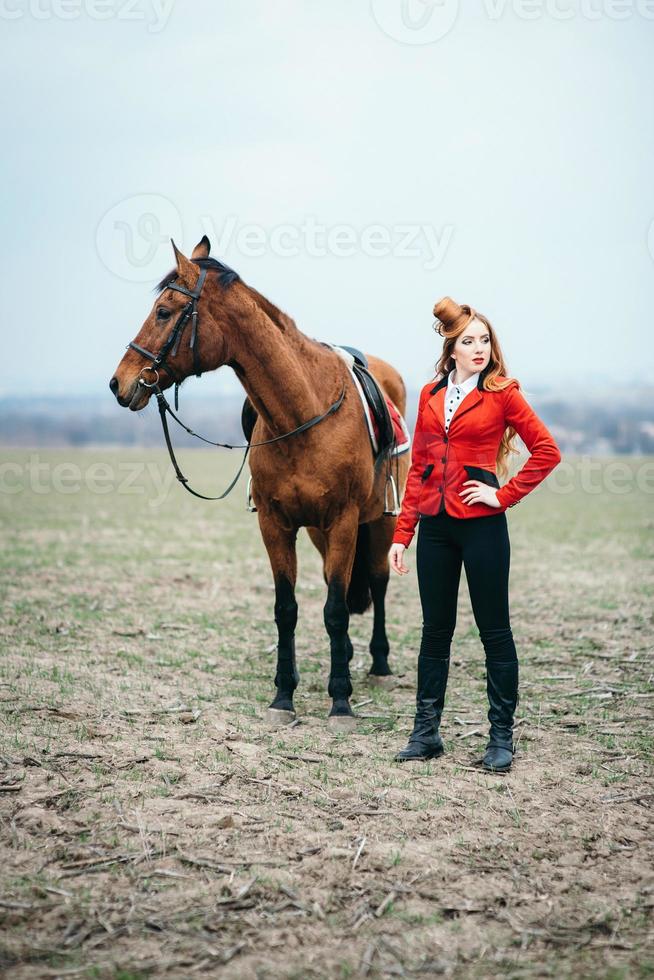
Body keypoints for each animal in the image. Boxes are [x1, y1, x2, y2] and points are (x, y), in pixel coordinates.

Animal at [113, 235, 410, 728]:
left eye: (165, 311)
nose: (118, 383)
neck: (304, 415)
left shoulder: (345, 521)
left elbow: (334, 608)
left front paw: (341, 701)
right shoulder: (276, 524)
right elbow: (287, 609)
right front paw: (283, 697)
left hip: (380, 520)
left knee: (379, 579)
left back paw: (379, 664)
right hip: (319, 533)